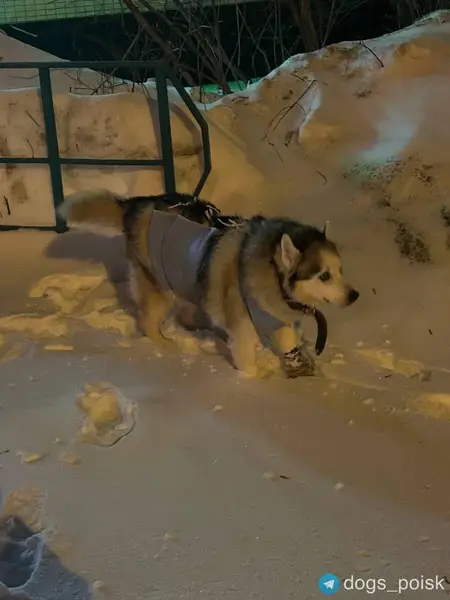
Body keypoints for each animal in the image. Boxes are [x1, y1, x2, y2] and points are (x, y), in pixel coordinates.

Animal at [59, 189, 359, 378]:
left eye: (340, 270)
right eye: (324, 276)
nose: (354, 295)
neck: (269, 271)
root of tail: (137, 203)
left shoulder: (276, 318)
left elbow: (287, 342)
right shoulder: (244, 330)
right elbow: (248, 364)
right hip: (158, 284)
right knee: (148, 322)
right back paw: (169, 345)